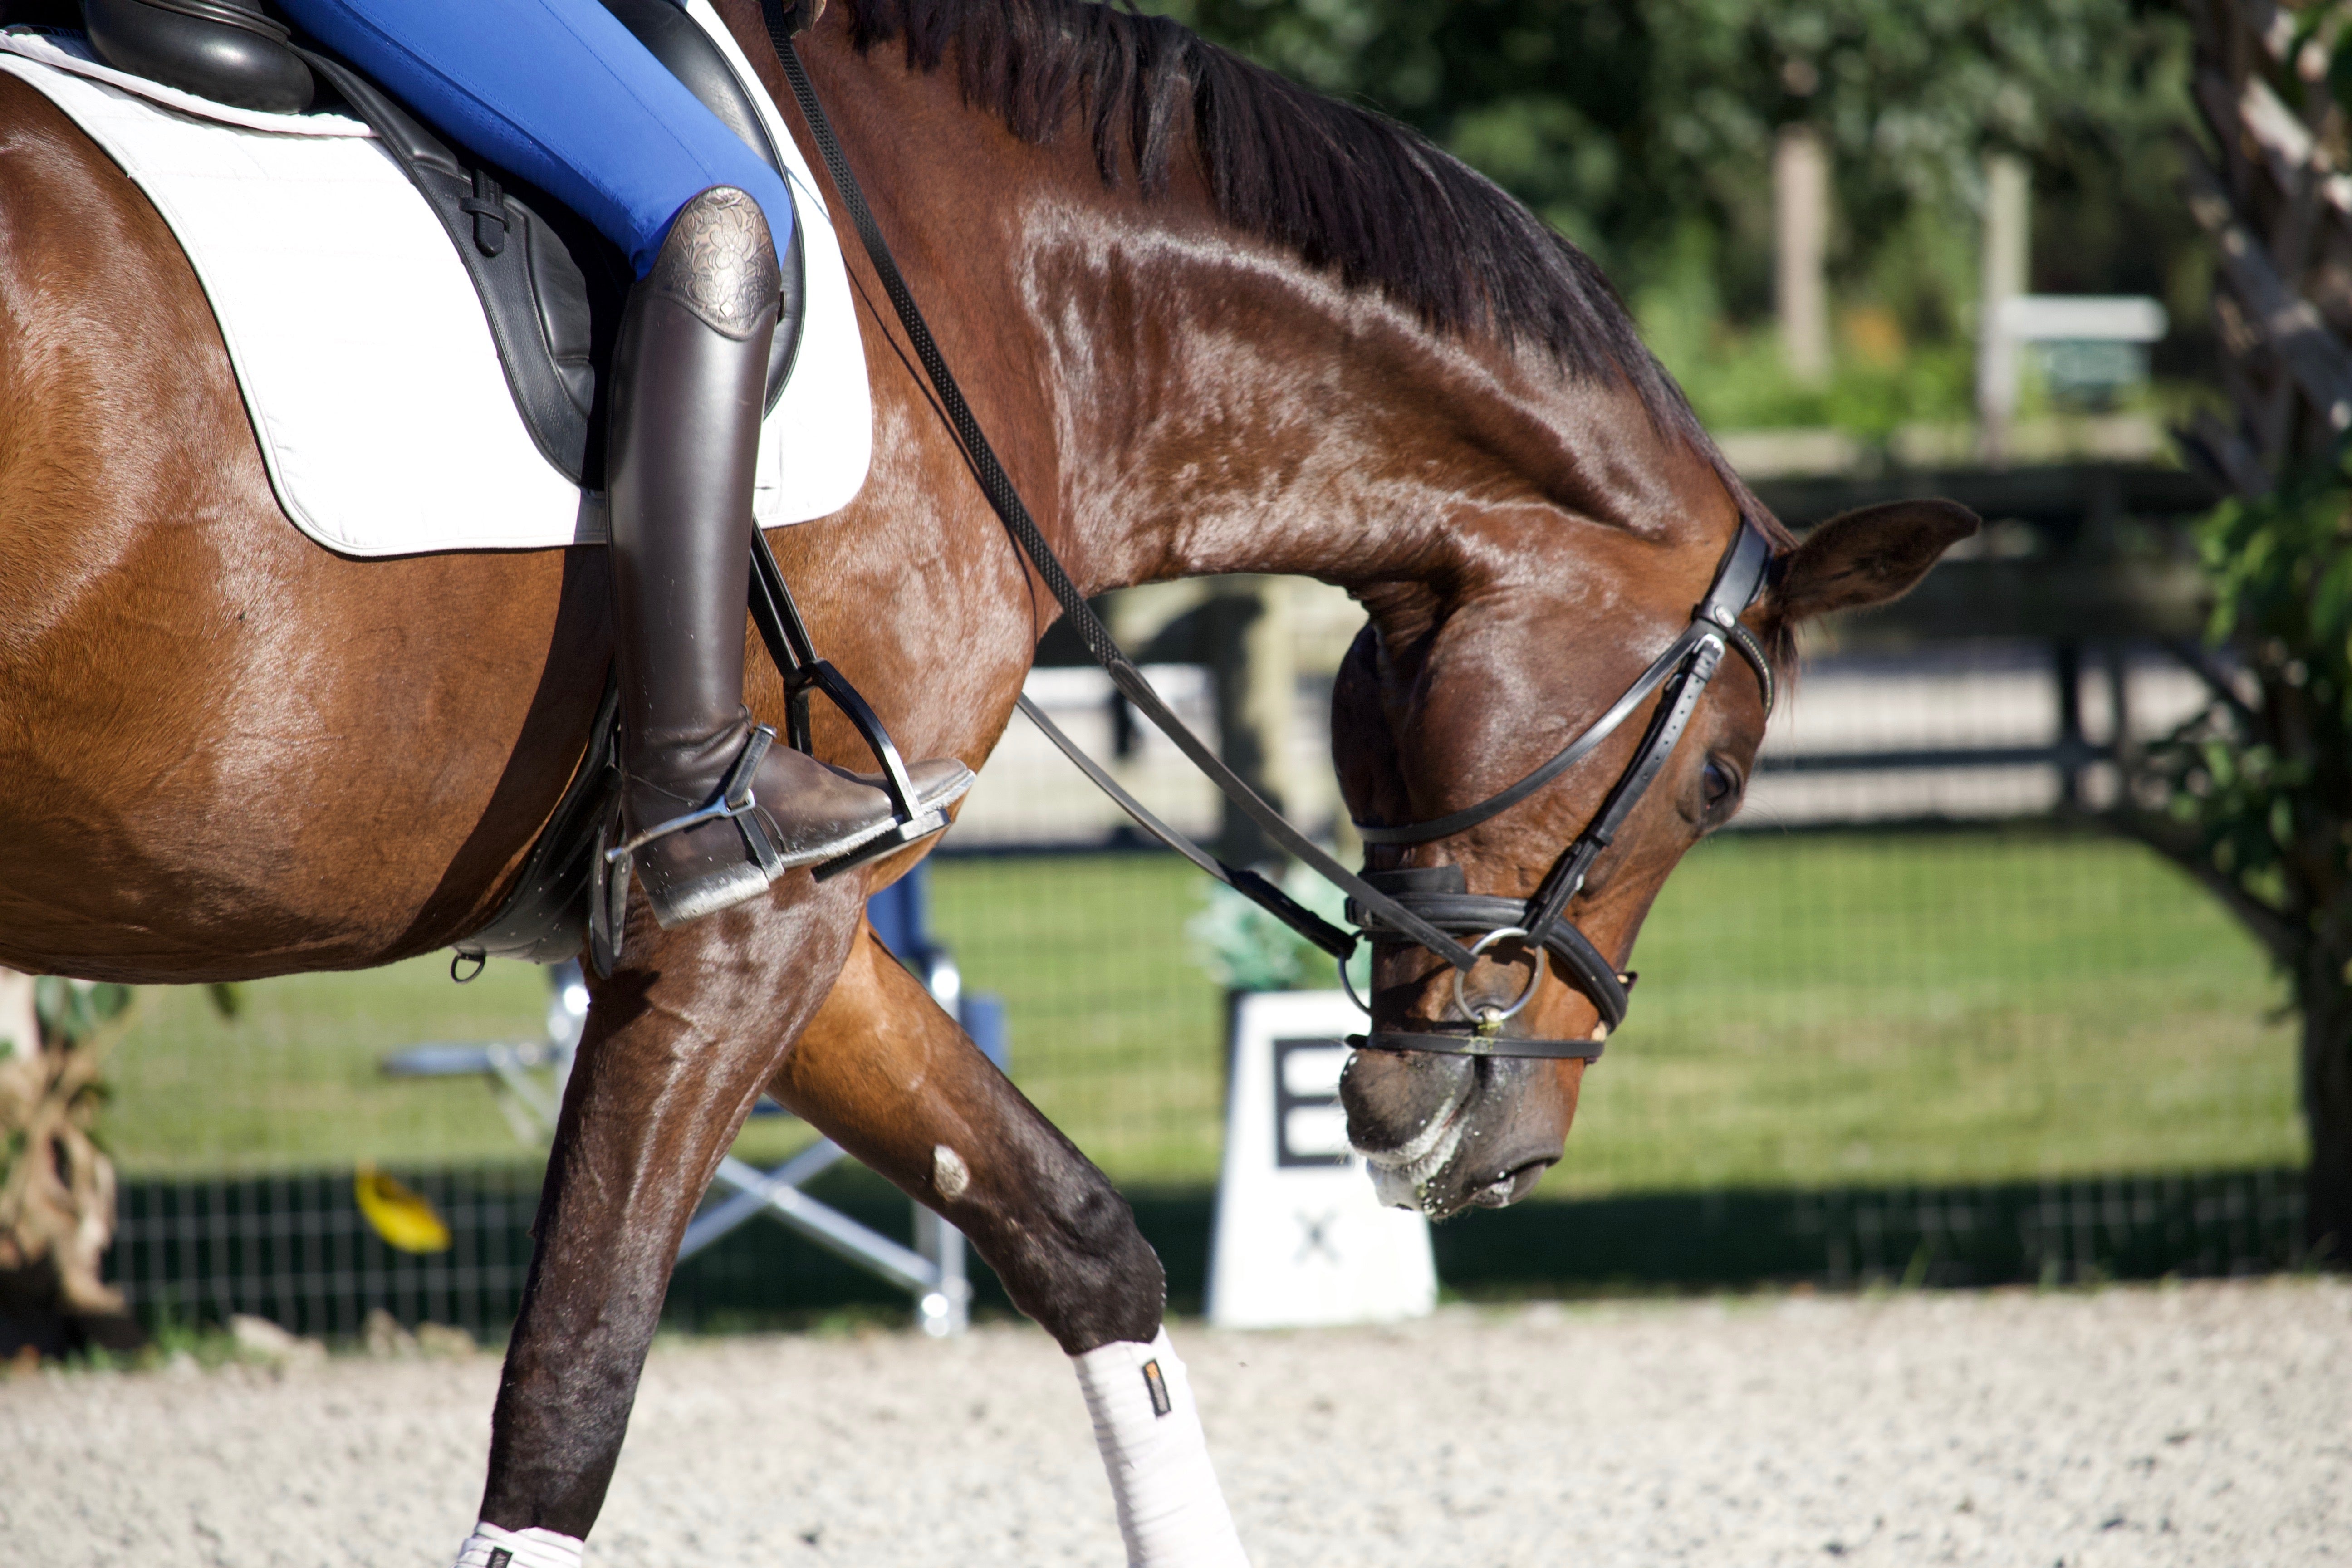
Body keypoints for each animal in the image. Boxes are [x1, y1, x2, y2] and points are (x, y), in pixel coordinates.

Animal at [0, 0, 1974, 1554]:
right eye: (1723, 781)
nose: (1495, 1151)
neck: (1010, 303)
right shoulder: (737, 927)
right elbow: (569, 1397)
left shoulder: (809, 932)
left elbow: (1079, 1234)